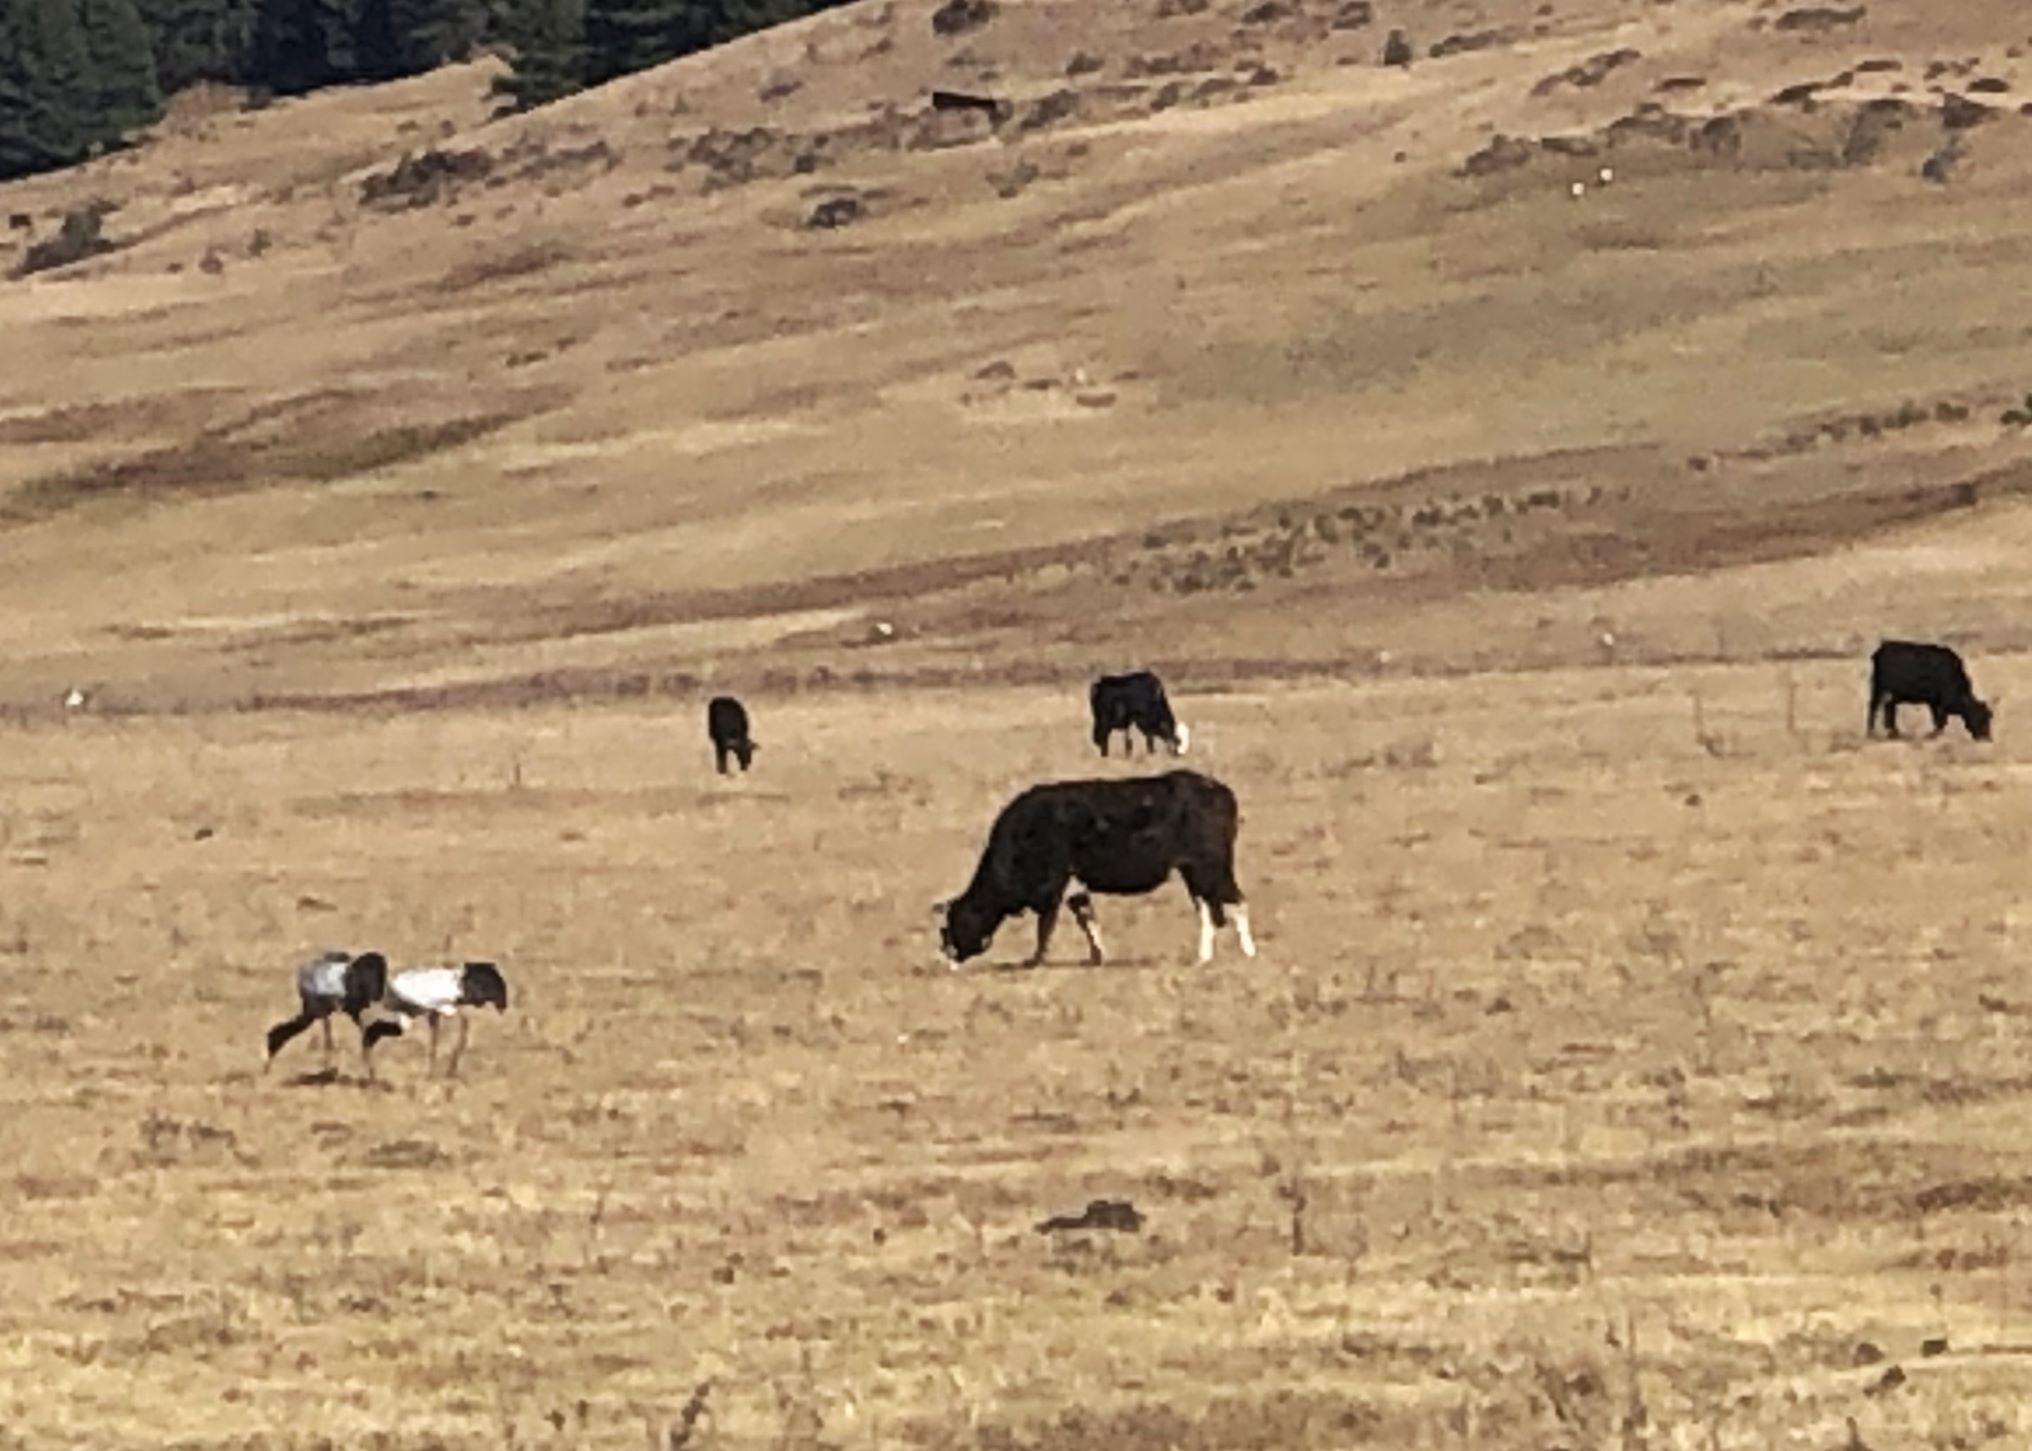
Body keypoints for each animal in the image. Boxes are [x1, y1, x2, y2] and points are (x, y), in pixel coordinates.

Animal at [934, 764, 1251, 967]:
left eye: (953, 922)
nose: (949, 955)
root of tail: (1220, 790)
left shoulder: (1052, 886)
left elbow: (1045, 927)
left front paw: (1035, 960)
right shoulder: (1075, 885)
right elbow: (1087, 919)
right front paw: (1098, 956)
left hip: (1211, 867)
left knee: (1235, 902)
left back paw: (1246, 952)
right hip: (1195, 871)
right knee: (1209, 908)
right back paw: (1204, 956)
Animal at [1861, 638, 1991, 739]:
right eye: (1981, 717)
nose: (1986, 737)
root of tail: (1881, 649)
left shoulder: (1935, 702)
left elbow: (1939, 720)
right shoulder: (1937, 702)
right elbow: (1940, 720)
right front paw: (1933, 735)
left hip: (1889, 693)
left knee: (1888, 708)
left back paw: (1894, 733)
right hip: (1879, 689)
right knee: (1874, 707)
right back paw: (1871, 733)